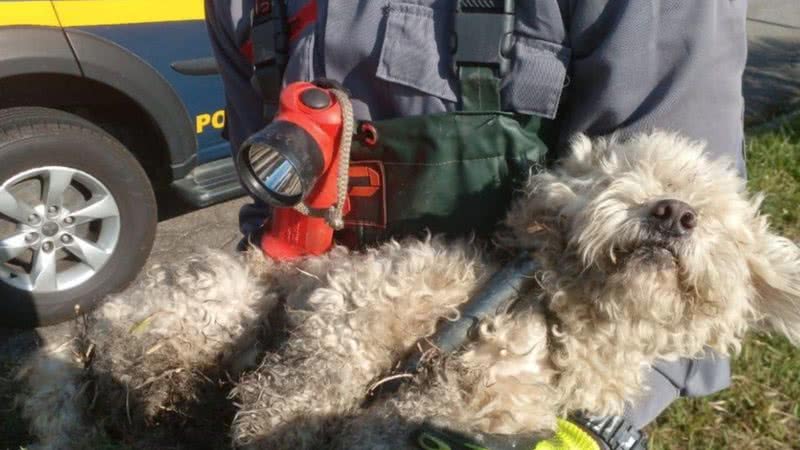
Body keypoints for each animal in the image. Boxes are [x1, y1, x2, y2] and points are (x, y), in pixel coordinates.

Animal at [18, 132, 800, 448]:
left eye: (717, 219)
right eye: (619, 181)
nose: (672, 212)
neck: (552, 322)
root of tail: (87, 326)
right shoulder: (359, 304)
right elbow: (302, 389)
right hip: (218, 302)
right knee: (151, 381)